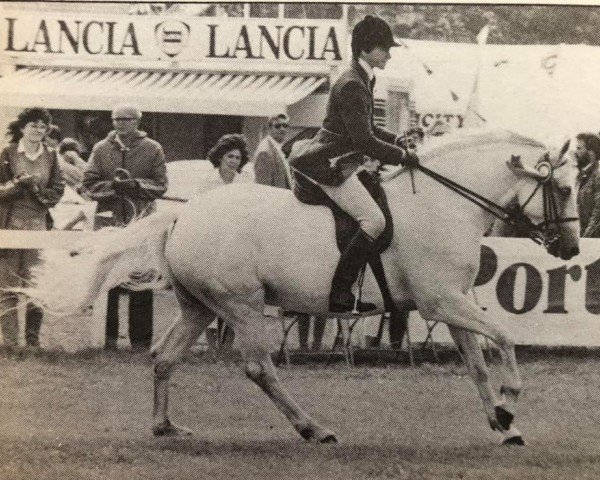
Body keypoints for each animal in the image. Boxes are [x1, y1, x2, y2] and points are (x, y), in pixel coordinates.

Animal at [18, 127, 580, 446]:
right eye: (564, 187)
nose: (571, 249)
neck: (445, 205)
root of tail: (181, 217)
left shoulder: (452, 303)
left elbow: (478, 364)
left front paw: (503, 424)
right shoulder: (443, 302)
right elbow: (505, 339)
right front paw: (509, 404)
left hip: (199, 307)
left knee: (163, 356)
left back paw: (165, 427)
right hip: (241, 305)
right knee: (258, 367)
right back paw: (313, 428)